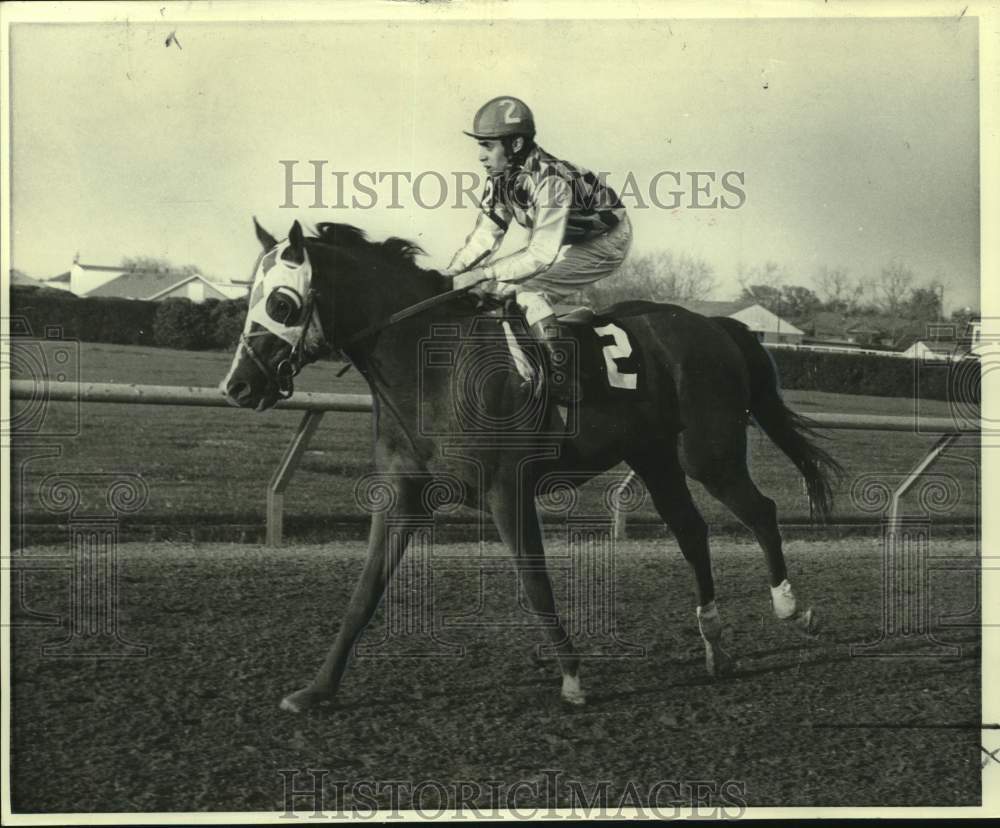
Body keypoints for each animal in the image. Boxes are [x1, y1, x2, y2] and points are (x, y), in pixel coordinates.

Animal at [223, 220, 840, 712]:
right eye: (245, 301)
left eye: (281, 303)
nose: (239, 385)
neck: (434, 368)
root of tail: (719, 327)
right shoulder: (402, 495)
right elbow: (364, 592)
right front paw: (317, 690)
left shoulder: (506, 491)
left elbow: (536, 583)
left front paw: (571, 677)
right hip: (656, 457)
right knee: (692, 530)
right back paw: (715, 644)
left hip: (708, 452)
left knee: (760, 510)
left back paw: (793, 608)